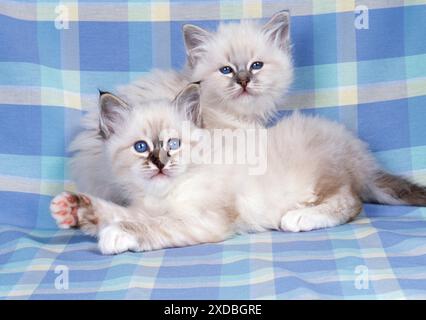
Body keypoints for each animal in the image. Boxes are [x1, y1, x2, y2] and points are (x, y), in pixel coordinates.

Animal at [51, 84, 426, 254]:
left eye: (173, 144)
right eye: (142, 147)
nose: (160, 162)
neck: (164, 193)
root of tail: (354, 146)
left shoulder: (203, 220)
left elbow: (151, 226)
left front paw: (117, 235)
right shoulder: (145, 207)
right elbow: (119, 213)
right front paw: (74, 210)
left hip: (320, 178)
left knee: (351, 202)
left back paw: (300, 216)